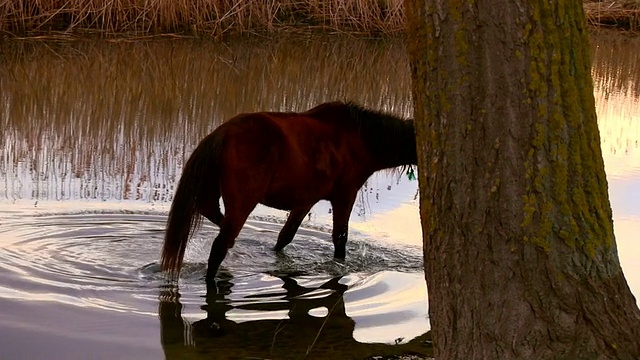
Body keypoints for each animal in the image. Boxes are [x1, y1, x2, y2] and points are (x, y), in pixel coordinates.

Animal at [162, 100, 418, 282]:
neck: (359, 139)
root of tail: (223, 132)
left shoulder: (305, 201)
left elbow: (285, 236)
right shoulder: (345, 196)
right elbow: (340, 238)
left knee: (211, 213)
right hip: (243, 204)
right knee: (218, 247)